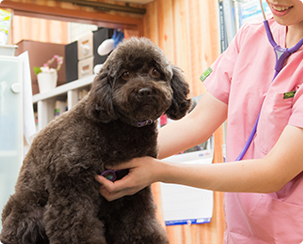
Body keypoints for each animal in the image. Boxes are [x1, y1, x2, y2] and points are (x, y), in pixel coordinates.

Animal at [0, 36, 191, 244]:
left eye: (155, 71)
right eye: (125, 74)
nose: (144, 91)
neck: (124, 128)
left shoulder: (134, 190)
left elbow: (140, 222)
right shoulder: (72, 184)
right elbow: (77, 226)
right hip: (29, 216)